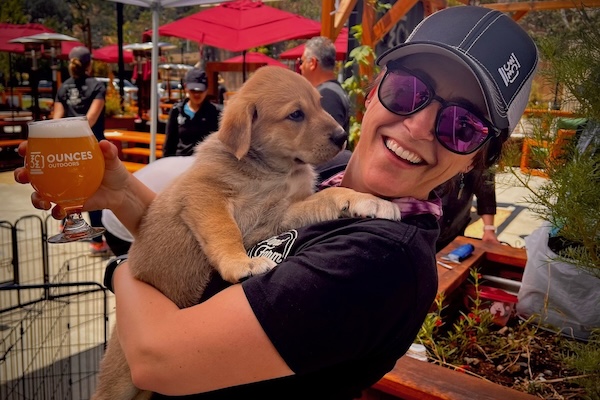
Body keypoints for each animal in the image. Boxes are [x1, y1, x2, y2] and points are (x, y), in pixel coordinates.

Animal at [94, 66, 400, 400]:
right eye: (296, 114)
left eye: (320, 105)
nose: (343, 137)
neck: (270, 171)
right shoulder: (205, 195)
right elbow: (224, 230)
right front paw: (241, 263)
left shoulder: (282, 214)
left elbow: (330, 196)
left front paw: (367, 199)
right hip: (117, 384)